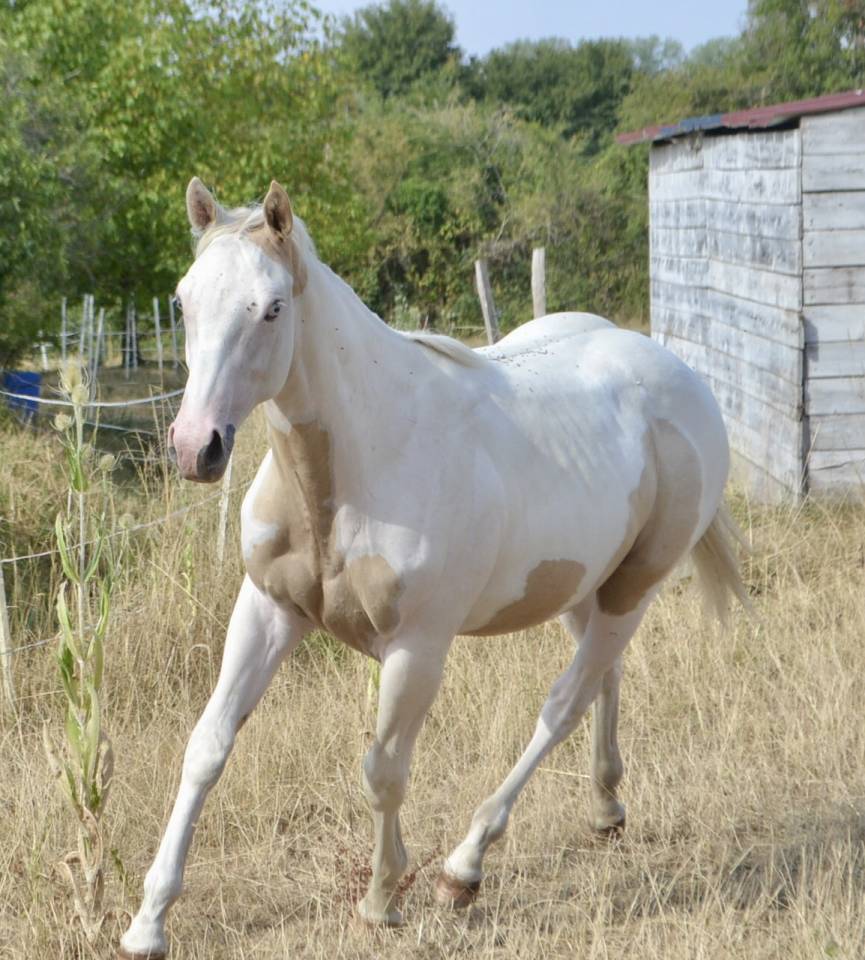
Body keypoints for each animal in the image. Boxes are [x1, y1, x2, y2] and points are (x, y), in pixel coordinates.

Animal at [119, 178, 746, 958]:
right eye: (182, 300)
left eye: (272, 307)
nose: (195, 447)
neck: (358, 464)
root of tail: (681, 378)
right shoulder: (267, 610)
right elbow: (207, 745)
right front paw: (148, 921)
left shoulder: (416, 647)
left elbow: (384, 769)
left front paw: (383, 900)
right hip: (583, 586)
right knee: (602, 679)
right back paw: (604, 808)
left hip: (634, 588)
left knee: (562, 703)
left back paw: (464, 866)